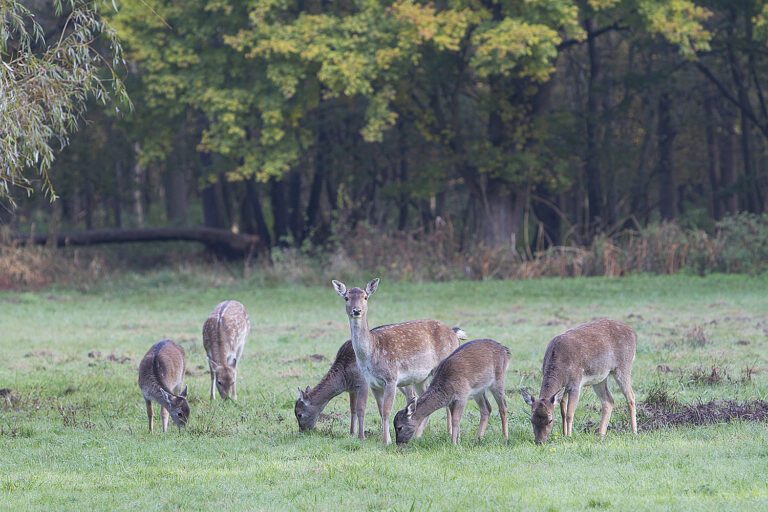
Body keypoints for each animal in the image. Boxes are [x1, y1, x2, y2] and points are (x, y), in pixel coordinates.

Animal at [332, 276, 464, 444]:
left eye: (365, 297)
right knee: (422, 398)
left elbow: (387, 410)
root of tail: (455, 334)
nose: (356, 310)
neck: (372, 352)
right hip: (421, 378)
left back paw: (448, 433)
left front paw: (387, 441)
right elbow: (380, 410)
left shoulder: (391, 378)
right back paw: (417, 435)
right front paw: (384, 437)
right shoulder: (373, 383)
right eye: (346, 297)